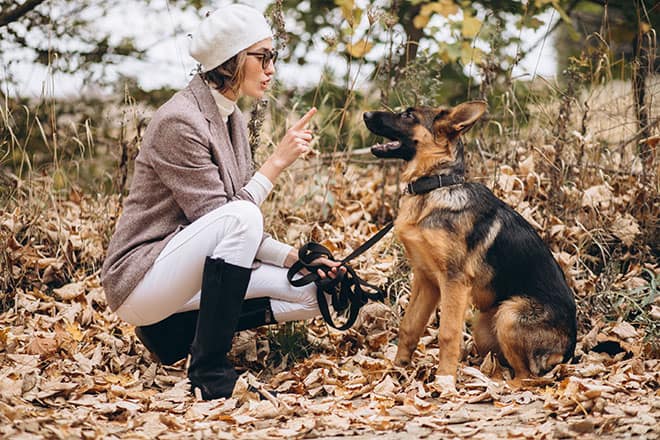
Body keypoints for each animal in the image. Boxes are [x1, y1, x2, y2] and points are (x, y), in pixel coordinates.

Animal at [364, 101, 576, 384]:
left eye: (408, 115)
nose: (365, 115)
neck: (435, 187)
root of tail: (570, 351)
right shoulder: (426, 280)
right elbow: (409, 326)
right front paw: (398, 369)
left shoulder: (454, 281)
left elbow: (447, 334)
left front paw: (444, 381)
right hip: (484, 325)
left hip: (509, 314)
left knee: (527, 377)